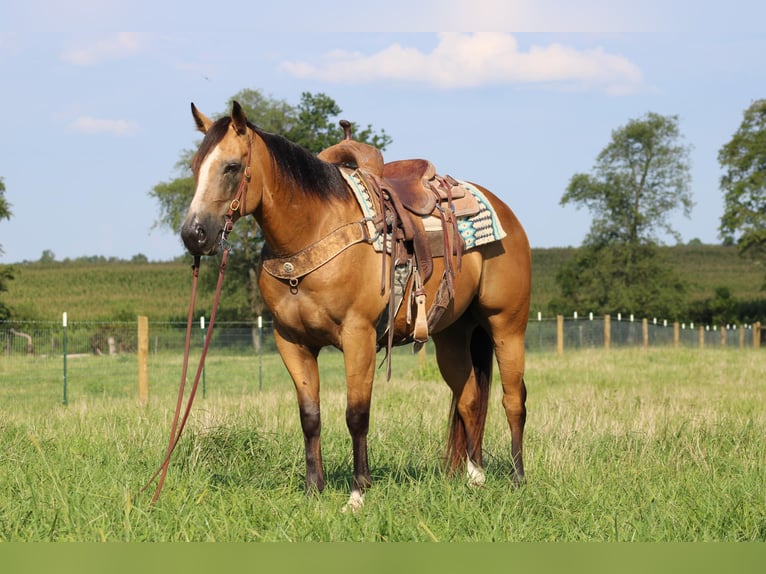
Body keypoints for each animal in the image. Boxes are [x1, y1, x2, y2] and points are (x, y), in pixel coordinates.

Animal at [181, 101, 532, 510]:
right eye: (194, 167)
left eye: (232, 166)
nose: (193, 234)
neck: (313, 231)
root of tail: (504, 211)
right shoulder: (291, 342)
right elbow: (310, 415)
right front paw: (313, 489)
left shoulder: (358, 336)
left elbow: (356, 414)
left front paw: (357, 492)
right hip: (452, 335)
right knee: (470, 399)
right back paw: (475, 478)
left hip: (507, 325)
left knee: (513, 399)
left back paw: (518, 479)